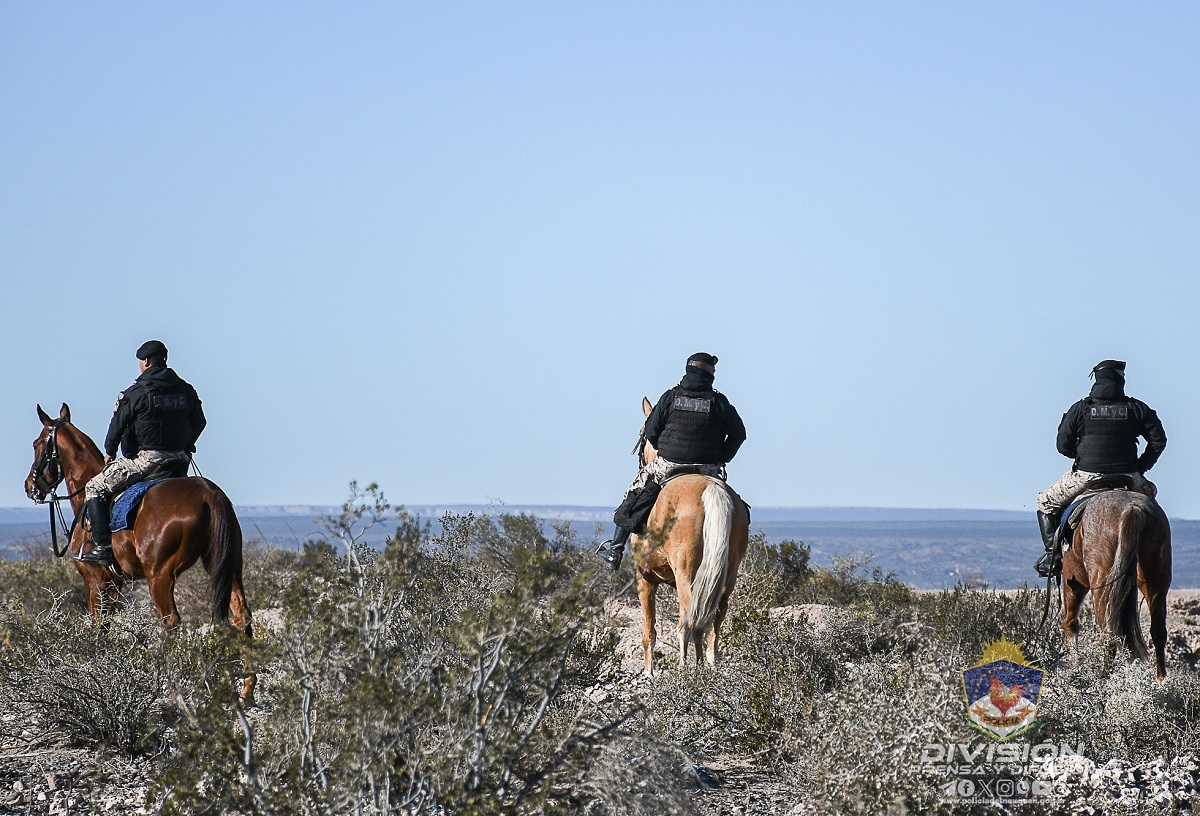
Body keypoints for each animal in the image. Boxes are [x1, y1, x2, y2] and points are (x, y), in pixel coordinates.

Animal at [25, 403, 256, 701]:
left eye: (37, 444)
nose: (30, 486)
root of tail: (209, 493)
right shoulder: (114, 584)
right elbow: (107, 627)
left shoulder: (95, 581)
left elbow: (97, 627)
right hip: (228, 567)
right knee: (241, 617)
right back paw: (246, 687)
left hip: (160, 576)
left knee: (171, 622)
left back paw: (173, 688)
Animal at [631, 397, 750, 677]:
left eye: (642, 434)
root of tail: (712, 489)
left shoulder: (645, 580)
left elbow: (649, 631)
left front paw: (648, 673)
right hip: (727, 572)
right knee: (713, 618)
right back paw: (707, 664)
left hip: (686, 570)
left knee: (688, 618)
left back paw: (686, 667)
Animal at [1060, 489, 1171, 681]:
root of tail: (1133, 510)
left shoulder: (1073, 581)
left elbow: (1070, 623)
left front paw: (1076, 667)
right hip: (1155, 581)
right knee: (1158, 631)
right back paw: (1161, 680)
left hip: (1100, 588)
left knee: (1107, 633)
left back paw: (1102, 676)